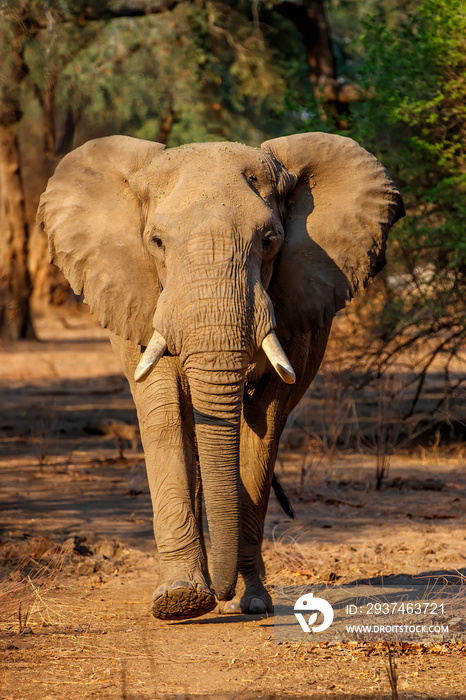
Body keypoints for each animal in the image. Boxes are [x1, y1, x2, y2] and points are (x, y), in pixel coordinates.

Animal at [37, 130, 404, 616]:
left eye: (269, 240)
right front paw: (181, 601)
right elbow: (163, 411)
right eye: (156, 242)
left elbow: (263, 424)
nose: (223, 596)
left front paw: (250, 603)